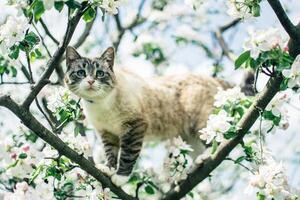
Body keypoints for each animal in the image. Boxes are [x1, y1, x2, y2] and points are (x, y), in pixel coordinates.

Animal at [63, 46, 234, 186]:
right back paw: (193, 168)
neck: (100, 104)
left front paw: (120, 177)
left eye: (99, 74)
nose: (91, 81)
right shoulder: (108, 133)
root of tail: (211, 78)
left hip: (200, 123)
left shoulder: (135, 125)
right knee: (196, 148)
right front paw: (109, 169)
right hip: (187, 136)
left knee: (216, 139)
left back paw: (205, 157)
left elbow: (127, 154)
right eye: (81, 73)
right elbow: (111, 152)